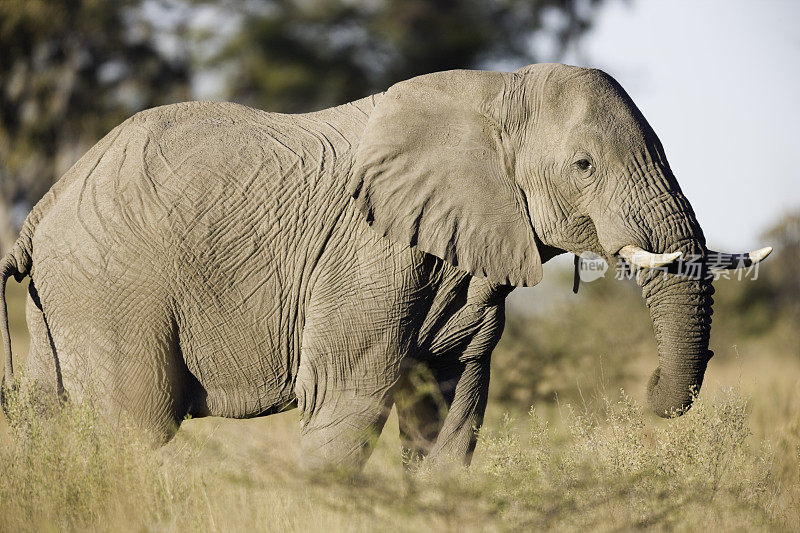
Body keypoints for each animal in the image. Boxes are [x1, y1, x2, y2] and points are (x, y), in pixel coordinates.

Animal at [0, 63, 772, 470]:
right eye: (583, 165)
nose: (648, 393)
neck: (493, 93)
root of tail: (45, 204)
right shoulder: (364, 253)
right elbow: (349, 399)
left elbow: (454, 405)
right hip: (111, 286)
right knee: (134, 425)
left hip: (62, 301)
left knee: (46, 412)